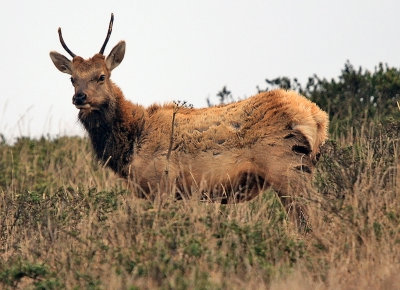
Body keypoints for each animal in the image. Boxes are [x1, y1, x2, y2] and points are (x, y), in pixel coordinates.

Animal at [50, 14, 328, 211]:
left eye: (101, 76)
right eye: (72, 79)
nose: (79, 97)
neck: (130, 144)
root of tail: (317, 118)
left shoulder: (161, 182)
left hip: (286, 167)